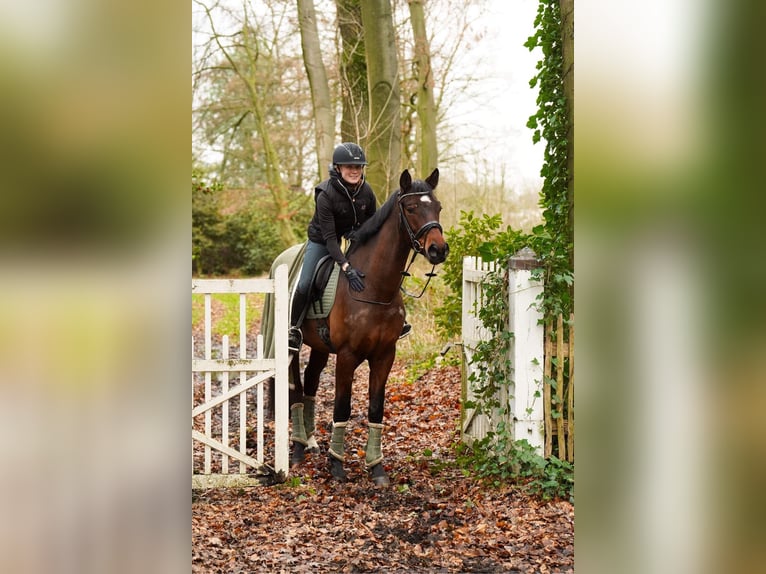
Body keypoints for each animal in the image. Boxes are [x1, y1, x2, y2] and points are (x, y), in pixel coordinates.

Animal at [292, 168, 450, 486]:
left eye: (437, 207)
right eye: (410, 208)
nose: (438, 250)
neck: (374, 287)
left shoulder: (384, 356)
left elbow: (376, 408)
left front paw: (376, 467)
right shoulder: (347, 356)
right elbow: (342, 407)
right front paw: (337, 465)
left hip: (320, 348)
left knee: (311, 381)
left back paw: (311, 442)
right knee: (295, 387)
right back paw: (297, 448)